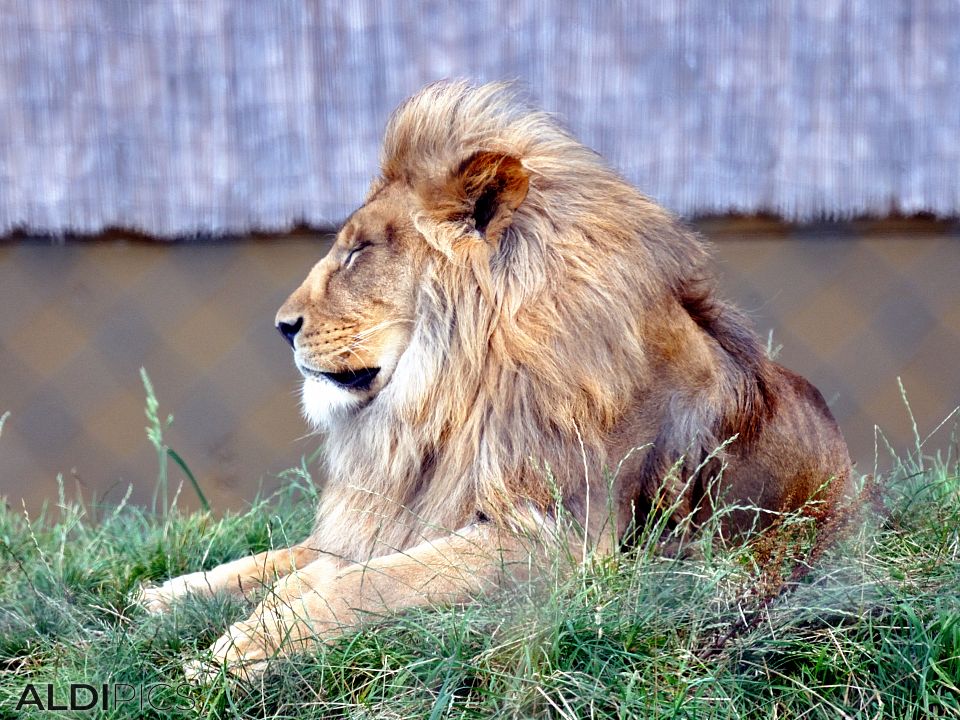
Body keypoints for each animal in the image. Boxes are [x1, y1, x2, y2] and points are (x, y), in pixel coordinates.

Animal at [139, 80, 852, 680]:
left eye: (358, 252)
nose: (282, 326)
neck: (455, 398)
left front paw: (240, 650)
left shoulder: (560, 543)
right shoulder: (400, 516)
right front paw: (165, 599)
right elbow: (282, 560)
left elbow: (368, 582)